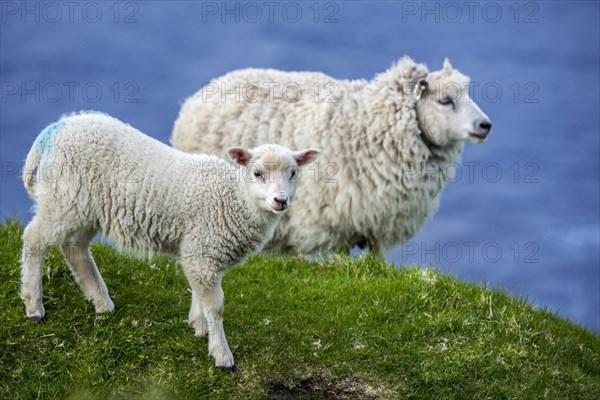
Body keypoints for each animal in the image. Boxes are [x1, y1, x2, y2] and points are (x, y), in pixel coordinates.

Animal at [19, 111, 318, 370]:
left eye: (293, 173)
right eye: (257, 174)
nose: (281, 200)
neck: (234, 198)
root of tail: (56, 128)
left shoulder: (198, 252)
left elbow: (199, 293)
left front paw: (199, 327)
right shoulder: (203, 250)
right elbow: (216, 306)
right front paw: (221, 354)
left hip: (85, 208)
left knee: (75, 247)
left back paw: (101, 302)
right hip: (64, 196)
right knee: (35, 239)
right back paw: (34, 305)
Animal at [170, 57, 492, 256]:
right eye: (445, 100)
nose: (485, 125)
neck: (367, 124)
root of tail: (204, 90)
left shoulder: (380, 222)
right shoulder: (337, 219)